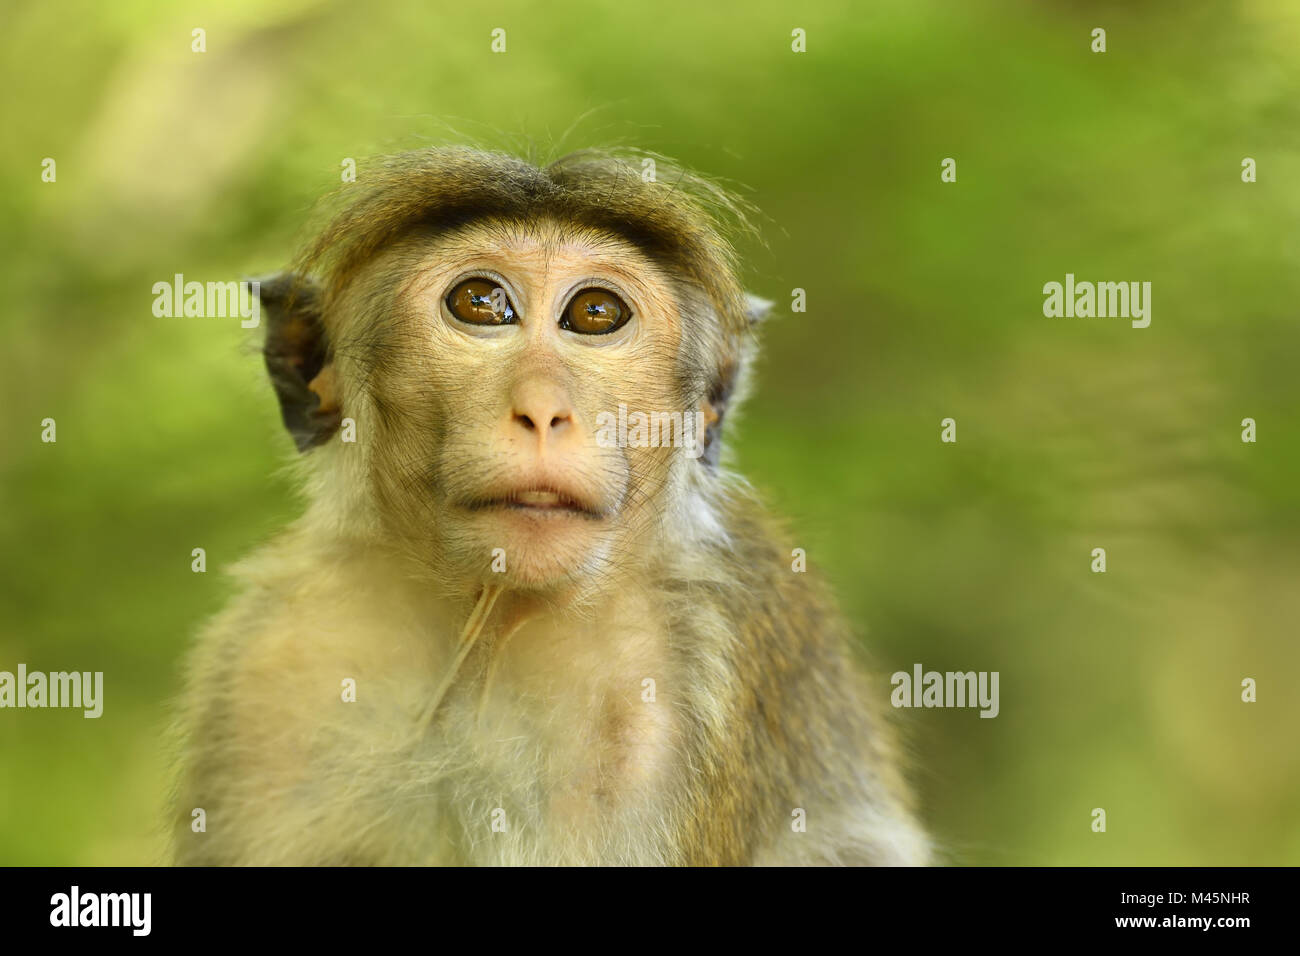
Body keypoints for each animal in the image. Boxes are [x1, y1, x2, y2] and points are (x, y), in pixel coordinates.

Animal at [169, 146, 930, 866]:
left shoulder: (685, 682)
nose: (541, 410)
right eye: (480, 302)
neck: (487, 625)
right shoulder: (268, 668)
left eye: (595, 314)